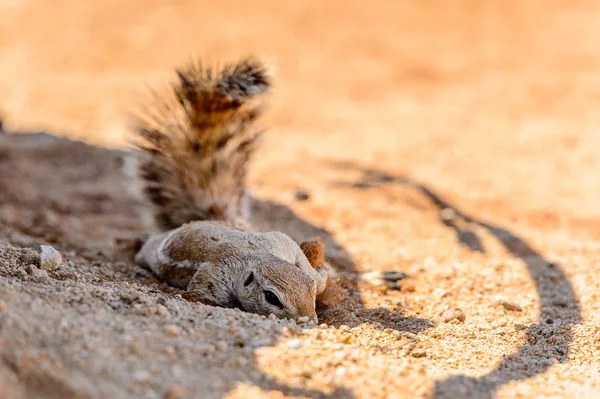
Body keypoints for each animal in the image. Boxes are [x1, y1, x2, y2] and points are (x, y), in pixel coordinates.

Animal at [132, 57, 328, 324]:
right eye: (271, 297)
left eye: (310, 290)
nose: (308, 320)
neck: (255, 257)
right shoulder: (214, 275)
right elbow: (200, 294)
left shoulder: (282, 243)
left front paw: (321, 274)